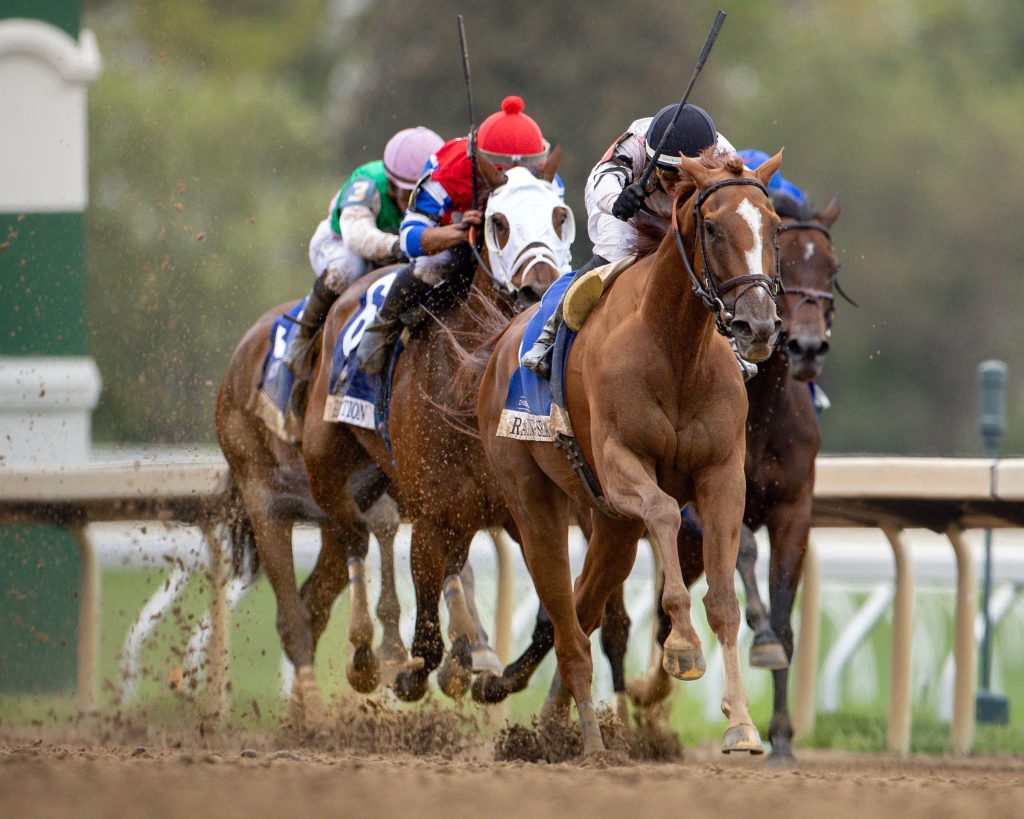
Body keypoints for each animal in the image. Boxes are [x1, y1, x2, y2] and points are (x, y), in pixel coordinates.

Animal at [298, 153, 572, 702]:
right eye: (498, 222)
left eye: (559, 216)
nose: (538, 289)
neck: (468, 385)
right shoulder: (429, 509)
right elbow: (425, 616)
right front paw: (414, 672)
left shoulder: (516, 509)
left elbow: (551, 618)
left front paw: (497, 678)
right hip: (325, 458)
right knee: (354, 534)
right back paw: (369, 653)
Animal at [475, 149, 784, 755]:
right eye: (713, 228)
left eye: (774, 226)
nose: (757, 327)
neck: (675, 348)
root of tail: (500, 347)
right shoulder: (622, 464)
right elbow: (664, 512)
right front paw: (683, 646)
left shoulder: (722, 475)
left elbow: (724, 600)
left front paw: (740, 724)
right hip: (535, 504)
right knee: (566, 619)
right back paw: (591, 742)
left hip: (612, 525)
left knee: (581, 610)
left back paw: (550, 717)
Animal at [628, 195, 845, 768]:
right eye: (788, 262)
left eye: (831, 269)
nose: (807, 346)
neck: (763, 410)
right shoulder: (706, 500)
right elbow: (744, 553)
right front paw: (761, 633)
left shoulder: (795, 510)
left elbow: (787, 617)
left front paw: (782, 738)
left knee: (661, 620)